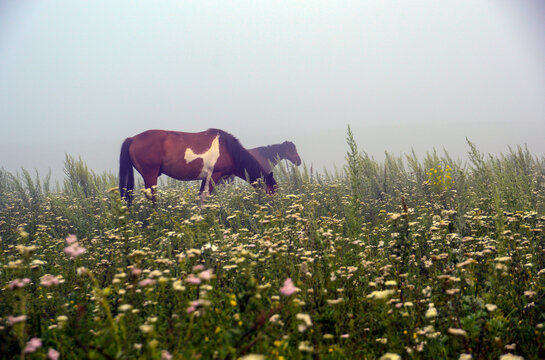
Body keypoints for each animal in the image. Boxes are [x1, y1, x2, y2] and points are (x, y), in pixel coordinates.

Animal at [118, 129, 276, 202]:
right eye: (272, 191)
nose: (274, 209)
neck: (228, 150)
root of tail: (132, 139)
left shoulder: (205, 178)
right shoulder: (213, 176)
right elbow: (204, 198)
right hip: (150, 175)